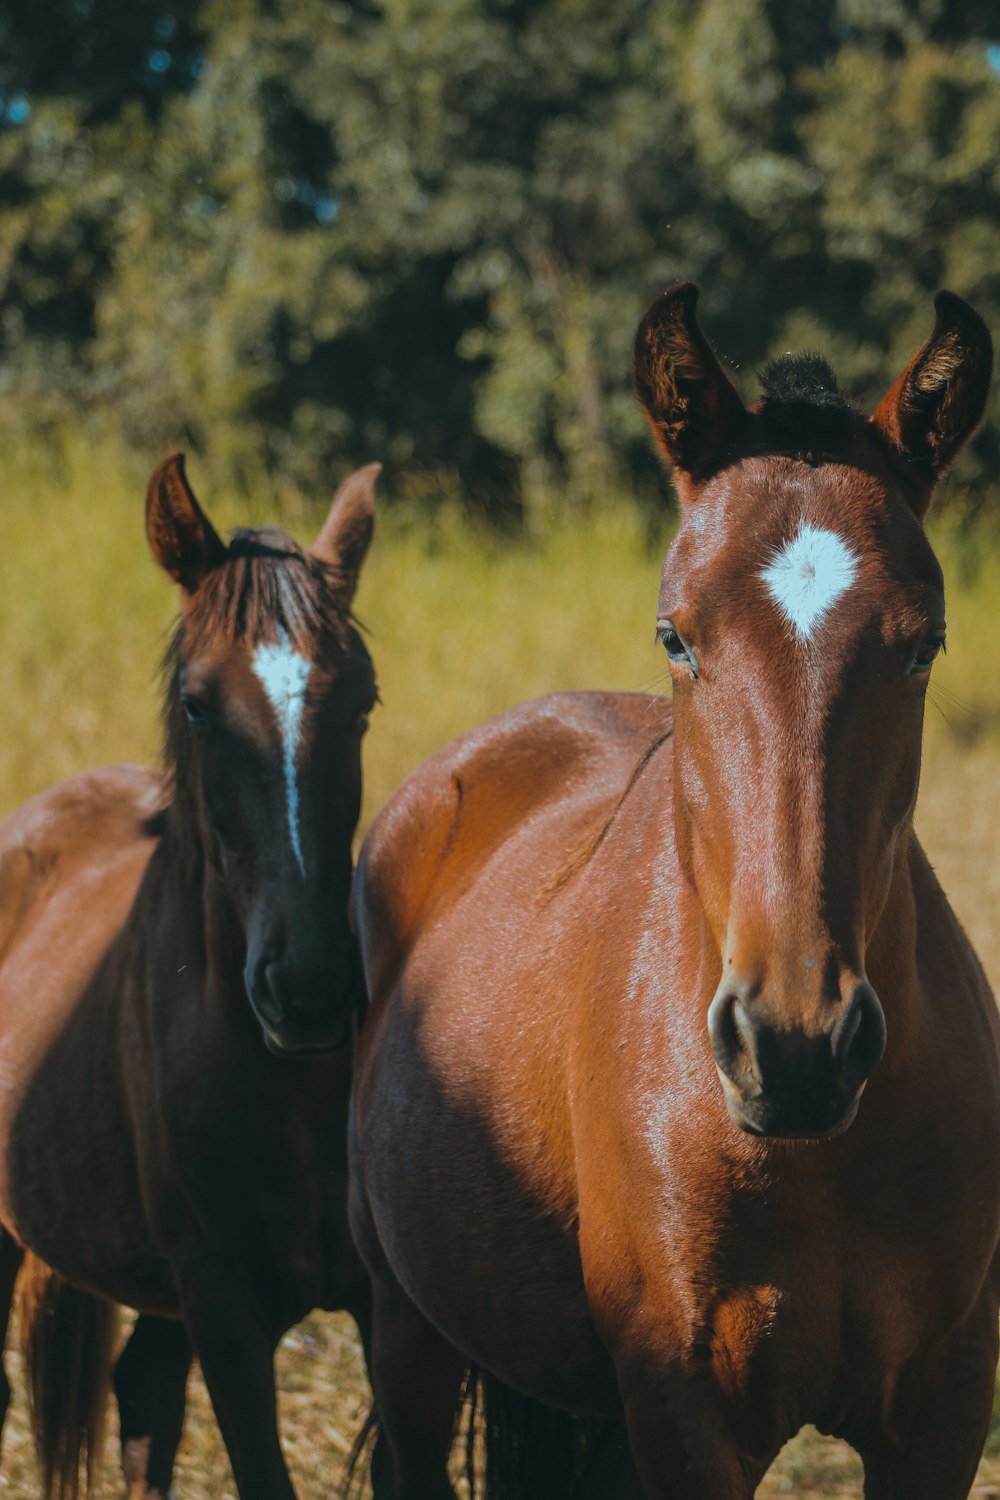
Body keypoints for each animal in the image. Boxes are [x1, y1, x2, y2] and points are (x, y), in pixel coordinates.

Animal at [0, 456, 379, 1500]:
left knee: (145, 1405)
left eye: (363, 703)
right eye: (200, 707)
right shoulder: (223, 1308)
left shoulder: (382, 1305)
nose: (310, 989)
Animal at [352, 283, 1000, 1500]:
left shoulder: (939, 1417)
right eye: (675, 636)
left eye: (925, 645)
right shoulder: (682, 1411)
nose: (793, 1045)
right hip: (407, 1333)